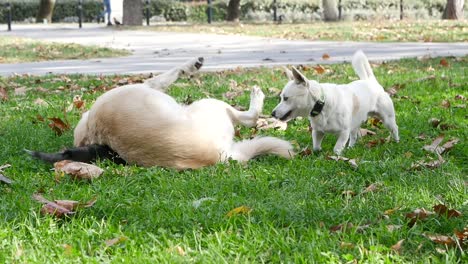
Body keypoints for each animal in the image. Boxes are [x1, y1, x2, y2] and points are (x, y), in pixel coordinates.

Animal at [28, 57, 292, 169]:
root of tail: (224, 155)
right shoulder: (148, 86)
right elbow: (168, 75)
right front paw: (189, 66)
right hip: (210, 104)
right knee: (249, 117)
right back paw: (256, 97)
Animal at [272, 50, 400, 155]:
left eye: (286, 98)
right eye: (281, 98)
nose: (272, 113)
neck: (321, 105)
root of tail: (371, 82)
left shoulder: (344, 132)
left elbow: (337, 148)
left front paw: (337, 157)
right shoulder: (317, 132)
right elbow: (316, 146)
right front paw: (318, 152)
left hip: (387, 119)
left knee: (394, 128)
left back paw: (396, 141)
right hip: (355, 121)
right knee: (354, 135)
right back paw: (350, 148)